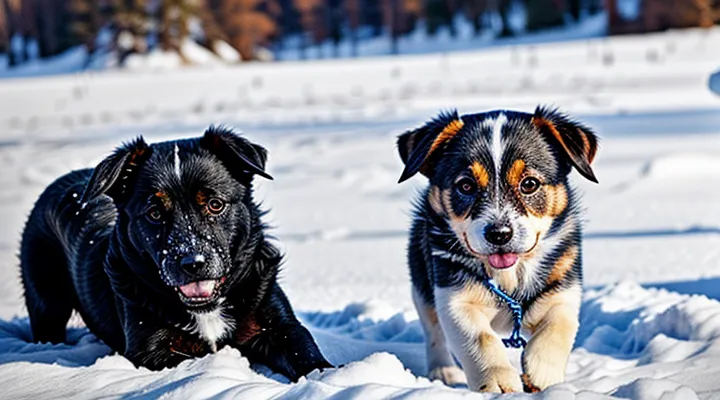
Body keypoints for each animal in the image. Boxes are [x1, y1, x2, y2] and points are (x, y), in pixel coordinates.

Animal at [19, 126, 330, 380]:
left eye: (215, 204)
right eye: (154, 213)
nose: (193, 263)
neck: (206, 308)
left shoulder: (279, 325)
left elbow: (306, 355)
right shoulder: (150, 350)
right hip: (47, 303)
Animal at [396, 107, 600, 394]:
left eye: (529, 184)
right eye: (466, 185)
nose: (499, 234)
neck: (510, 274)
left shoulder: (563, 287)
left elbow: (558, 327)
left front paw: (542, 373)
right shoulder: (453, 297)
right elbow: (480, 337)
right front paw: (497, 380)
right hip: (421, 281)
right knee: (433, 329)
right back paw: (444, 372)